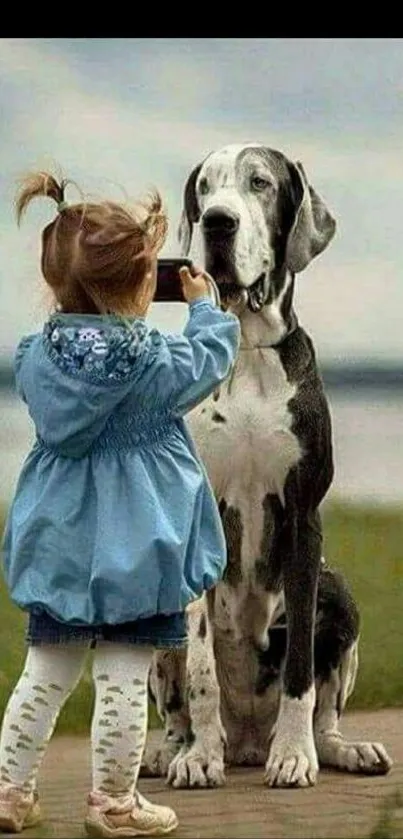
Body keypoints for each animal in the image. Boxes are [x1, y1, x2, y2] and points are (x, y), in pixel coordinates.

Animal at [143, 143, 394, 788]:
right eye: (204, 189)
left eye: (260, 183)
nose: (217, 223)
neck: (250, 349)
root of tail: (248, 742)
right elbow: (201, 672)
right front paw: (198, 758)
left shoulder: (305, 518)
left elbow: (300, 669)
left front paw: (296, 755)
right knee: (175, 705)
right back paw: (170, 751)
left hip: (341, 594)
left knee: (324, 707)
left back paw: (337, 749)